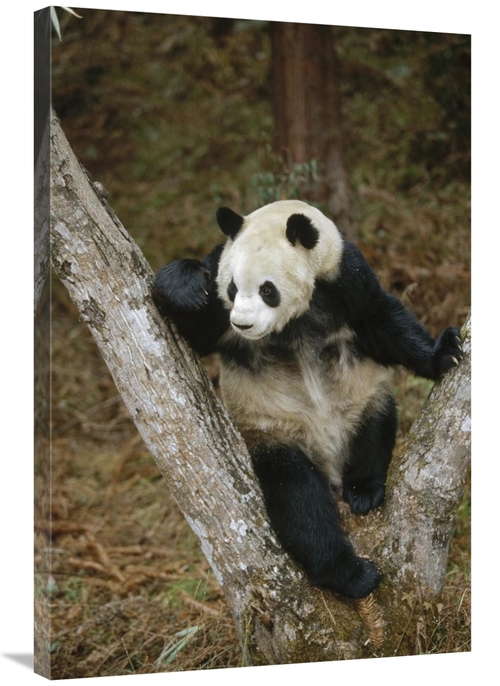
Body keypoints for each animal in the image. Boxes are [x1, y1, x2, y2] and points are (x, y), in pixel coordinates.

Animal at [152, 199, 463, 599]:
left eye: (267, 289)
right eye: (233, 288)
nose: (242, 323)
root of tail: (330, 464)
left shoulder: (346, 277)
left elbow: (382, 321)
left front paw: (445, 354)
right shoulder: (220, 291)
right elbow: (197, 331)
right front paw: (186, 286)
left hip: (359, 400)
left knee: (374, 428)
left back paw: (363, 490)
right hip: (274, 433)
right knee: (299, 497)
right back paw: (349, 573)